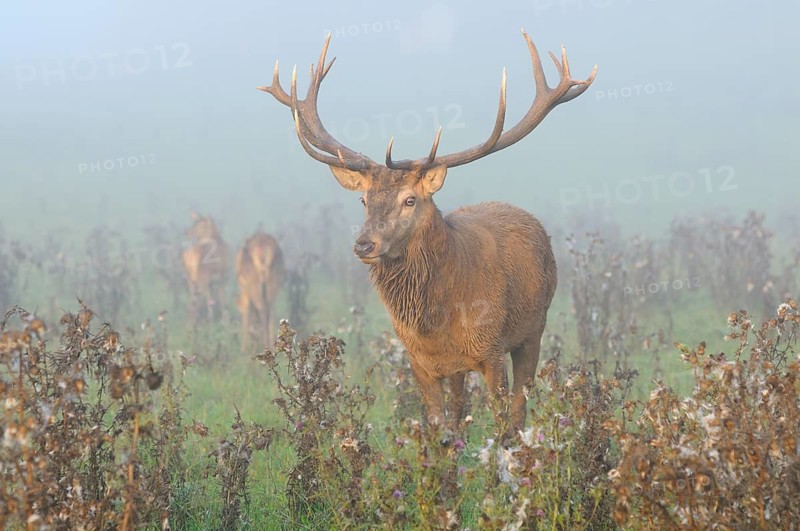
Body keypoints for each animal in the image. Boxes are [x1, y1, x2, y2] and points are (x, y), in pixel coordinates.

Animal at [259, 30, 596, 436]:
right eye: (363, 199)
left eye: (410, 200)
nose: (364, 244)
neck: (437, 320)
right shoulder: (418, 360)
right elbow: (438, 426)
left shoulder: (492, 348)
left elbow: (502, 423)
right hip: (462, 366)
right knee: (459, 408)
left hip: (535, 328)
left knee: (520, 405)